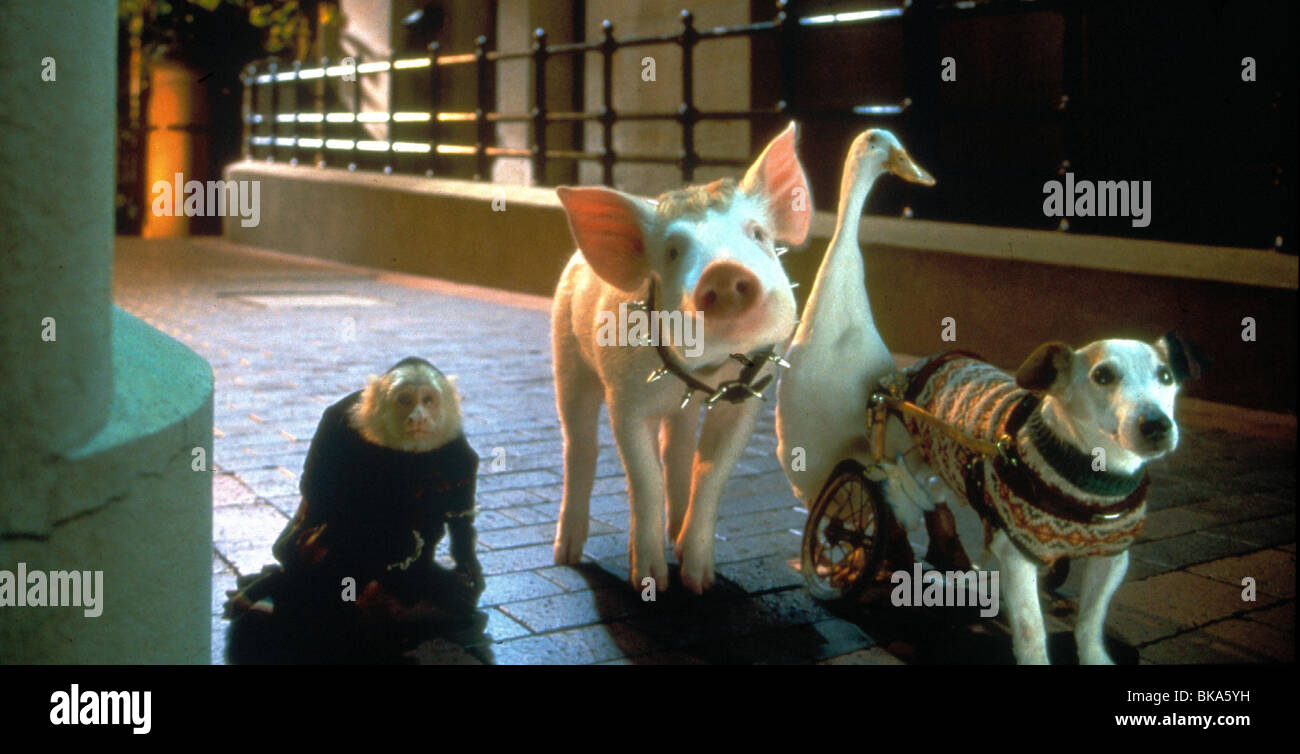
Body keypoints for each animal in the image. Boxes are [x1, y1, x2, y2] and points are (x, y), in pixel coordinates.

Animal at [551, 122, 812, 594]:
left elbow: (709, 471)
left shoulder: (746, 400)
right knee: (580, 445)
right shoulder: (626, 400)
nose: (724, 273)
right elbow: (644, 478)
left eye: (758, 235)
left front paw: (699, 581)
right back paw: (567, 554)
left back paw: (675, 537)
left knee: (677, 448)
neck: (702, 372)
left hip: (675, 411)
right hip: (568, 358)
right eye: (672, 251)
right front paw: (649, 582)